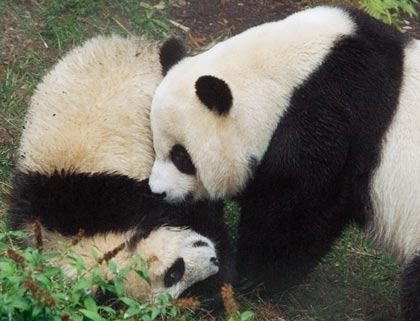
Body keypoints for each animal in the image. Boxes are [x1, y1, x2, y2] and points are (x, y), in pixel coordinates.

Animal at [148, 5, 420, 320]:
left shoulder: (332, 118)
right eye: (156, 146)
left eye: (182, 157)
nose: (158, 193)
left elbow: (295, 211)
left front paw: (251, 279)